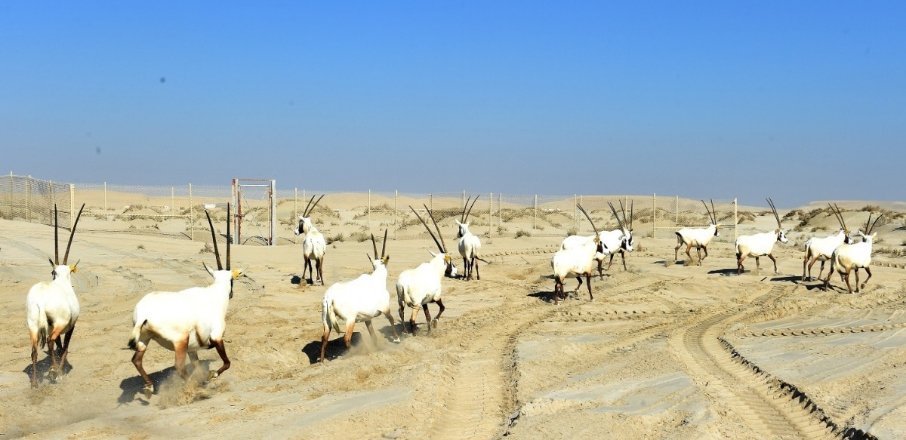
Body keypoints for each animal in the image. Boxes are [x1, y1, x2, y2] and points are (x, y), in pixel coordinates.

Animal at [25, 203, 85, 388]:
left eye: (52, 272)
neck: (62, 280)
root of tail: (40, 301)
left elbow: (59, 347)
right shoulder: (71, 325)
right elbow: (64, 347)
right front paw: (59, 371)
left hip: (33, 325)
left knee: (34, 350)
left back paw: (35, 383)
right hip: (58, 324)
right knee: (52, 343)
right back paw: (55, 373)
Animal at [128, 204, 243, 397]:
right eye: (232, 281)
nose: (232, 294)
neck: (214, 294)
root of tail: (144, 312)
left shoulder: (193, 349)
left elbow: (197, 365)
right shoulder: (217, 337)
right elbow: (227, 363)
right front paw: (211, 375)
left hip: (145, 339)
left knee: (136, 360)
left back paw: (150, 386)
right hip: (180, 341)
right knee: (178, 366)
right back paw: (194, 388)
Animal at [320, 230, 400, 362]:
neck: (376, 278)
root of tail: (329, 297)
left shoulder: (367, 319)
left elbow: (373, 335)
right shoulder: (385, 308)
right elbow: (391, 319)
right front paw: (397, 339)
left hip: (326, 321)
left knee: (324, 339)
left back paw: (322, 362)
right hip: (350, 320)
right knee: (346, 338)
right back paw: (356, 353)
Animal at [396, 205, 455, 334]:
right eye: (450, 261)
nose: (455, 272)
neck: (435, 269)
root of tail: (403, 284)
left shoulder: (425, 302)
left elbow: (428, 316)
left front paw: (429, 331)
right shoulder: (436, 297)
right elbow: (442, 308)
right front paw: (434, 324)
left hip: (401, 301)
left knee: (401, 313)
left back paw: (406, 332)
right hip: (416, 303)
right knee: (411, 319)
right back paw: (414, 333)